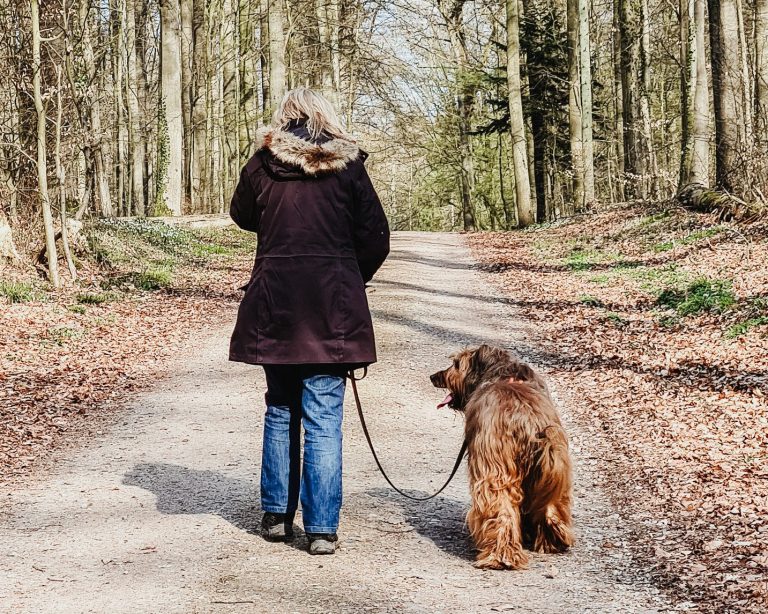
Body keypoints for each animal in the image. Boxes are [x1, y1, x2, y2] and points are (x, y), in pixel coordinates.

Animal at [428, 346, 572, 572]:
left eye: (456, 364)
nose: (434, 376)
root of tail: (528, 422)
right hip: (553, 469)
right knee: (551, 505)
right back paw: (554, 541)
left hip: (495, 472)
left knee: (501, 512)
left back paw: (501, 557)